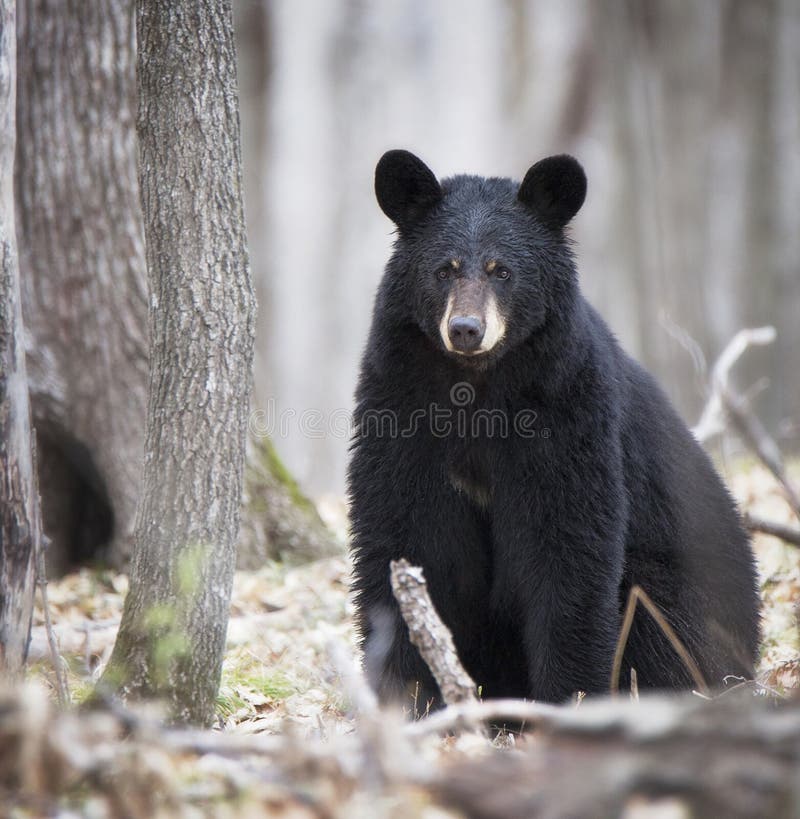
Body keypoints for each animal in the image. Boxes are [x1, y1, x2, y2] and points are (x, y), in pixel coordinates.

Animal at [348, 149, 756, 712]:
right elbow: (401, 529)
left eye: (502, 271)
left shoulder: (568, 409)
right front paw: (406, 696)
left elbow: (568, 544)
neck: (477, 386)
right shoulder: (400, 404)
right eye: (444, 269)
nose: (466, 329)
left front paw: (572, 698)